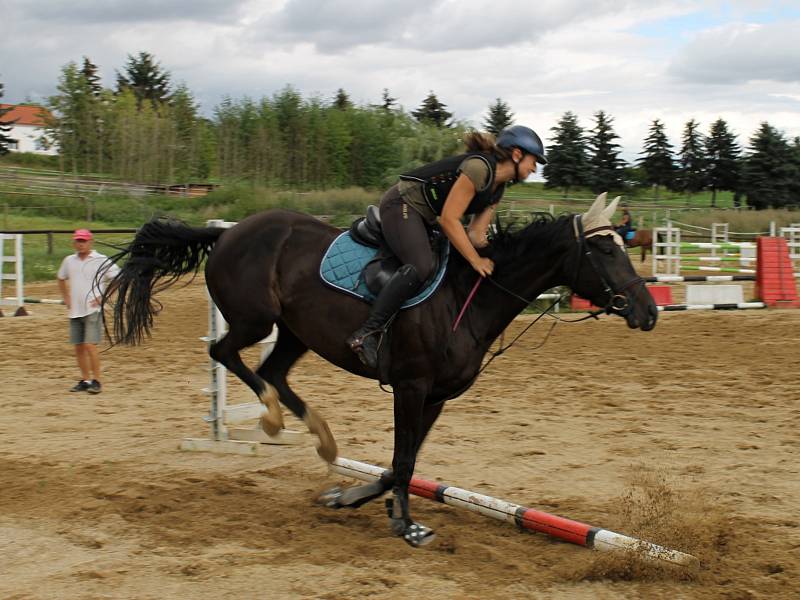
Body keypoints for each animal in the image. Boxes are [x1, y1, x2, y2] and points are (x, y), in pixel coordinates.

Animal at [104, 193, 656, 548]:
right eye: (604, 248)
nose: (648, 311)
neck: (468, 296)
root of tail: (228, 233)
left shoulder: (436, 397)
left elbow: (401, 462)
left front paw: (351, 497)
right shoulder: (411, 387)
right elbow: (405, 462)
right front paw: (406, 526)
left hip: (295, 332)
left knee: (275, 371)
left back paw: (323, 438)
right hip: (253, 319)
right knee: (227, 354)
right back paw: (273, 417)